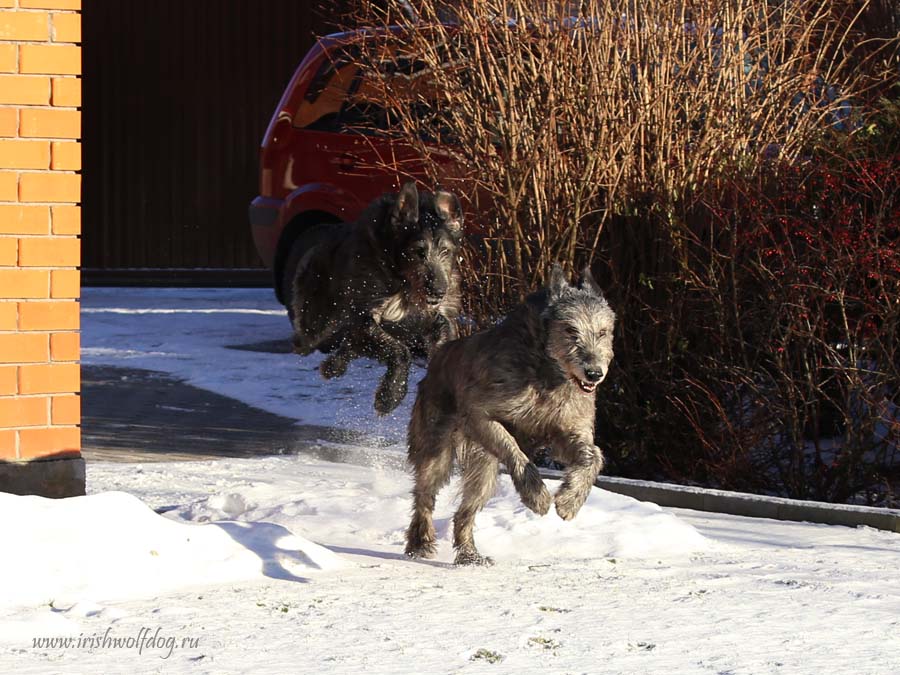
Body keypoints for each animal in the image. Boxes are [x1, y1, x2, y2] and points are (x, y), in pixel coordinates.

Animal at [404, 264, 616, 564]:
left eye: (603, 332)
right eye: (570, 329)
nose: (594, 373)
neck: (547, 370)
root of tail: (441, 351)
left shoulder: (566, 427)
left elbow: (592, 455)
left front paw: (570, 500)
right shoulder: (481, 414)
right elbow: (515, 451)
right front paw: (537, 496)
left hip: (482, 464)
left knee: (466, 508)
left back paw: (469, 554)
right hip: (437, 441)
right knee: (425, 492)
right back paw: (420, 541)